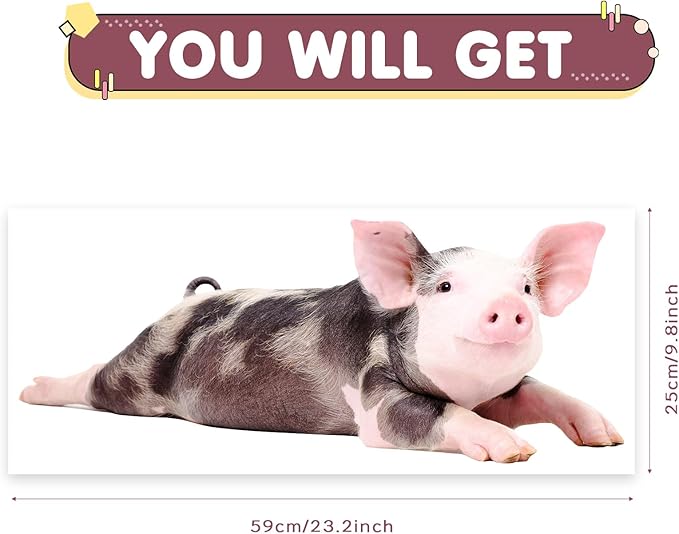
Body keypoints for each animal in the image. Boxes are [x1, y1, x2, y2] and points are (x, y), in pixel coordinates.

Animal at [19, 220, 623, 463]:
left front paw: (607, 437)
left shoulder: (501, 390)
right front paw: (515, 450)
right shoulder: (374, 396)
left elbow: (538, 391)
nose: (509, 308)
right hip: (139, 370)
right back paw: (32, 391)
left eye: (526, 288)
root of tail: (183, 304)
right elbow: (425, 415)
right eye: (446, 288)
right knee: (97, 380)